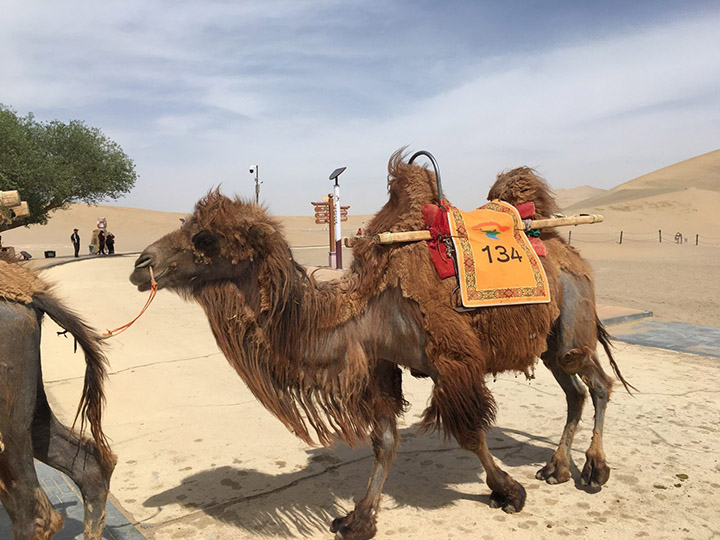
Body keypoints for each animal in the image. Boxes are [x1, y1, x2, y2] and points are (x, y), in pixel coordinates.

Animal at [131, 149, 632, 540]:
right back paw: (556, 469)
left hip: (572, 323)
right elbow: (385, 441)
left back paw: (594, 470)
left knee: (599, 384)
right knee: (575, 391)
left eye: (205, 238)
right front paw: (359, 518)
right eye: (187, 223)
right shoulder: (381, 365)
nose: (141, 264)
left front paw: (508, 491)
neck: (366, 306)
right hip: (549, 344)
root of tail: (566, 247)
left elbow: (470, 433)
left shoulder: (452, 360)